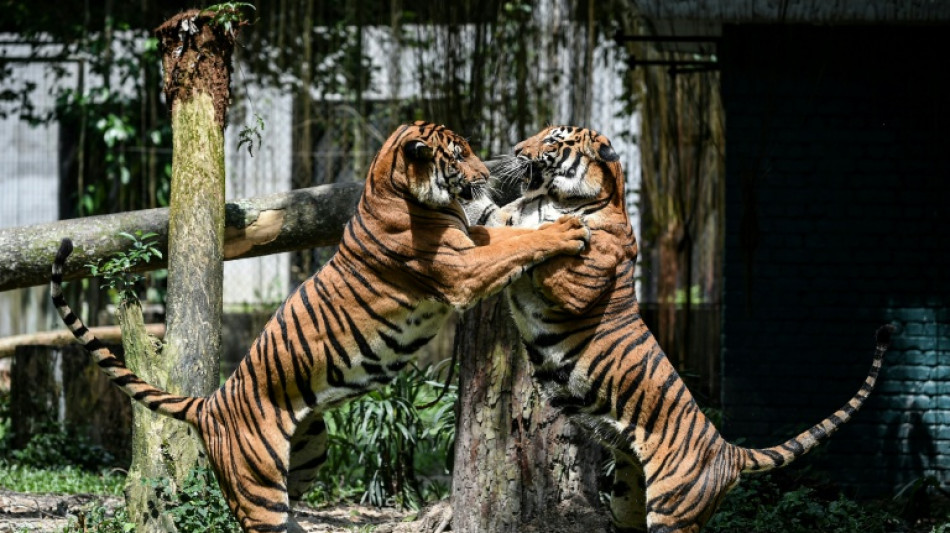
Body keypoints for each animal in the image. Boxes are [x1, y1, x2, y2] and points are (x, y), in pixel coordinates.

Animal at [50, 121, 592, 533]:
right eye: (459, 156)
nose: (486, 176)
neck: (392, 187)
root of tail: (210, 404)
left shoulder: (471, 240)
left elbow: (507, 234)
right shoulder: (461, 267)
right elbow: (515, 245)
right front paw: (565, 229)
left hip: (307, 457)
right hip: (258, 492)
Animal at [466, 125, 893, 533]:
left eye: (552, 140)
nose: (517, 149)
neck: (554, 199)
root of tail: (728, 450)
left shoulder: (576, 286)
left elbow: (543, 249)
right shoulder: (502, 220)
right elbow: (488, 216)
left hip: (672, 512)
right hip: (626, 502)